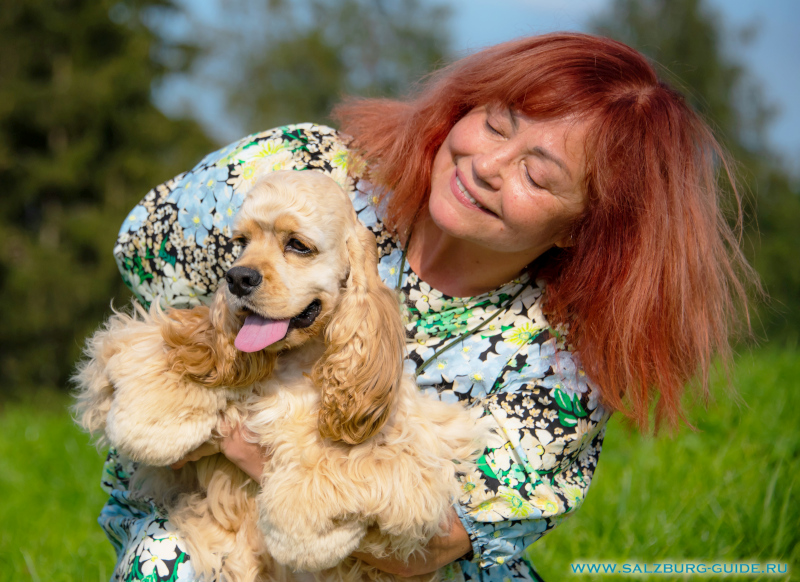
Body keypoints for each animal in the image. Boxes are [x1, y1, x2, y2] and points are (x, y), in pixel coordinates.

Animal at [73, 172, 488, 582]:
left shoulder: (419, 445)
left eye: (298, 245)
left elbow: (347, 459)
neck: (293, 361)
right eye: (241, 243)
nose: (237, 278)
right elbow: (158, 350)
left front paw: (303, 533)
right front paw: (152, 422)